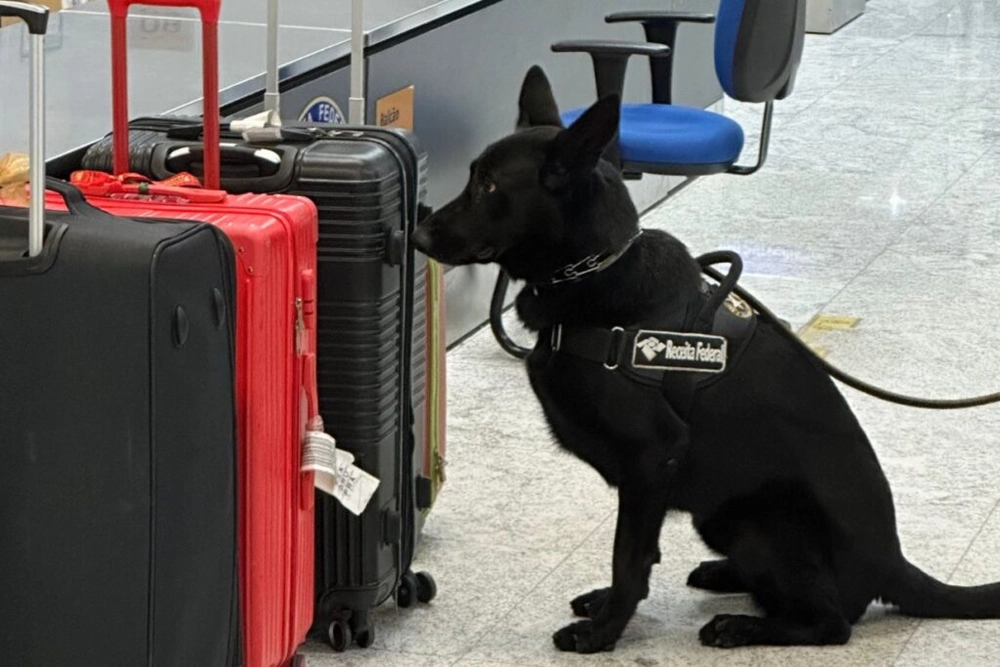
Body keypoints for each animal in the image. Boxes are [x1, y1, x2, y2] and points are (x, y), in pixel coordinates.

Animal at [410, 66, 1000, 652]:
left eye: (490, 187)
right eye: (472, 177)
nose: (415, 233)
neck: (598, 268)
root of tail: (893, 564)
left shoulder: (652, 458)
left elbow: (628, 558)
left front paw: (604, 632)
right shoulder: (645, 481)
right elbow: (640, 555)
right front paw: (607, 607)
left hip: (760, 518)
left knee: (830, 624)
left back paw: (741, 625)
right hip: (717, 515)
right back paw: (724, 575)